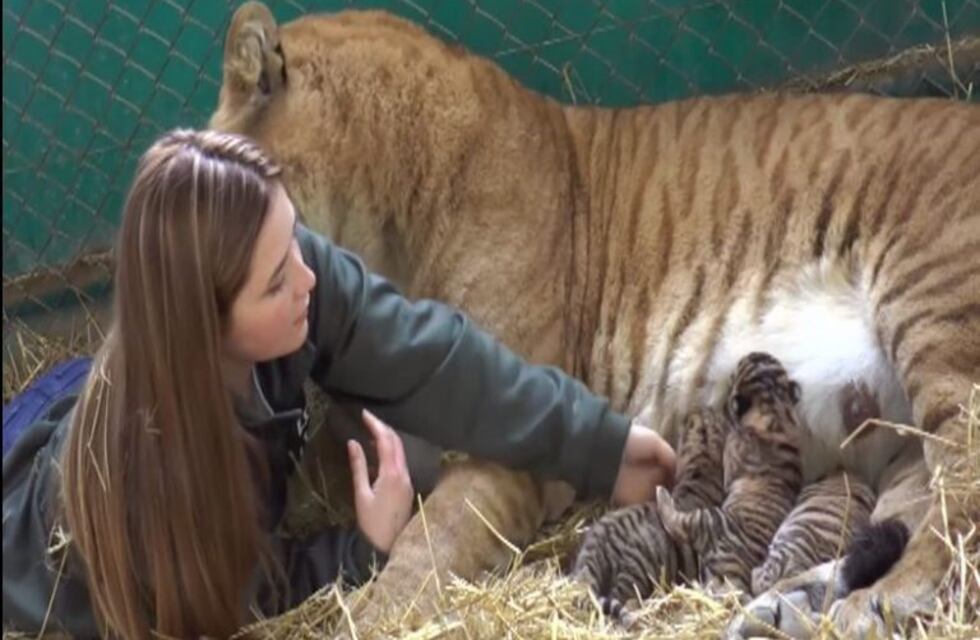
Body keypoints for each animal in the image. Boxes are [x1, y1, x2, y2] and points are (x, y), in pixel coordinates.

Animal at [656, 352, 804, 598]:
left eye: (735, 372)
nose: (749, 353)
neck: (776, 408)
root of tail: (737, 574)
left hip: (708, 520)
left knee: (678, 522)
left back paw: (662, 496)